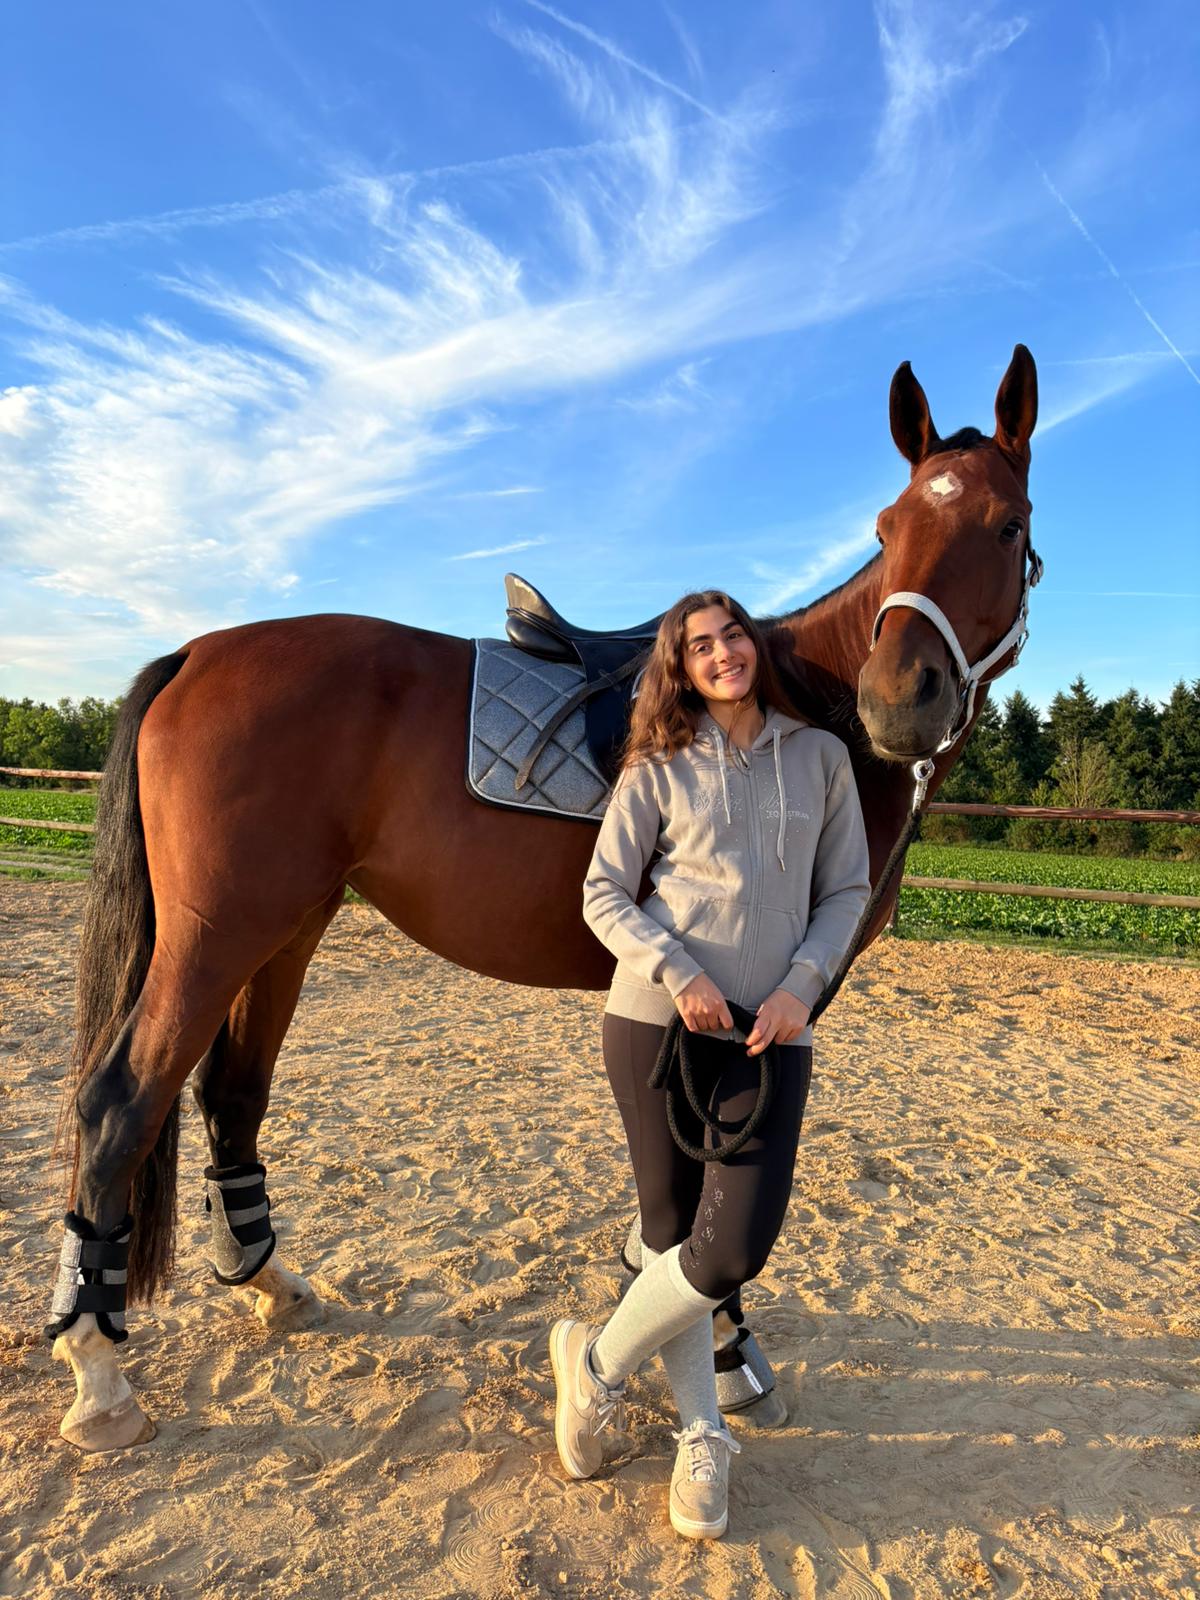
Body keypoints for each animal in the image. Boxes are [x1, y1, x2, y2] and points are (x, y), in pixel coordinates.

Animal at [47, 345, 1039, 1451]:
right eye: (886, 528)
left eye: (1007, 524)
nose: (897, 700)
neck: (796, 703)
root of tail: (198, 654)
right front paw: (727, 1352)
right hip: (219, 935)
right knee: (121, 1102)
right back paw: (97, 1373)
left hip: (286, 929)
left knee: (230, 1093)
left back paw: (268, 1283)